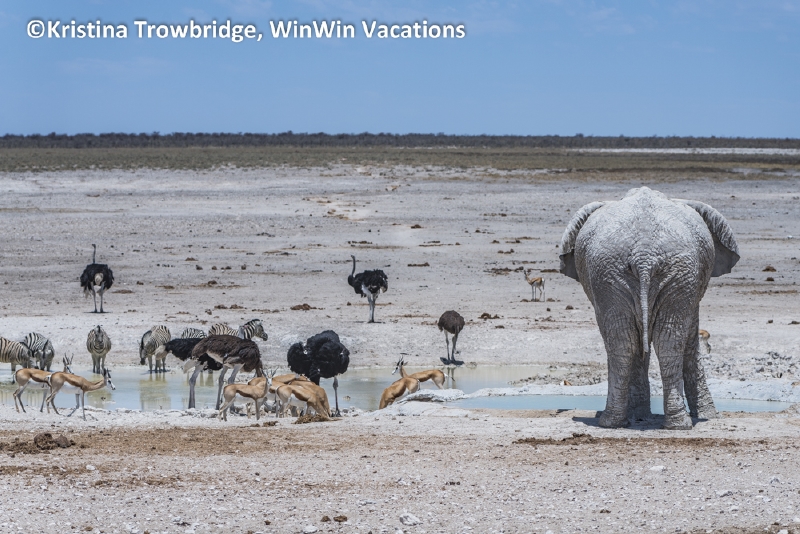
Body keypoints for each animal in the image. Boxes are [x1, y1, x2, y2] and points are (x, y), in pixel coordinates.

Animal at [559, 187, 739, 430]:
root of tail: (644, 255)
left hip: (636, 271)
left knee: (630, 341)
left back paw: (621, 422)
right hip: (619, 271)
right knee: (650, 341)